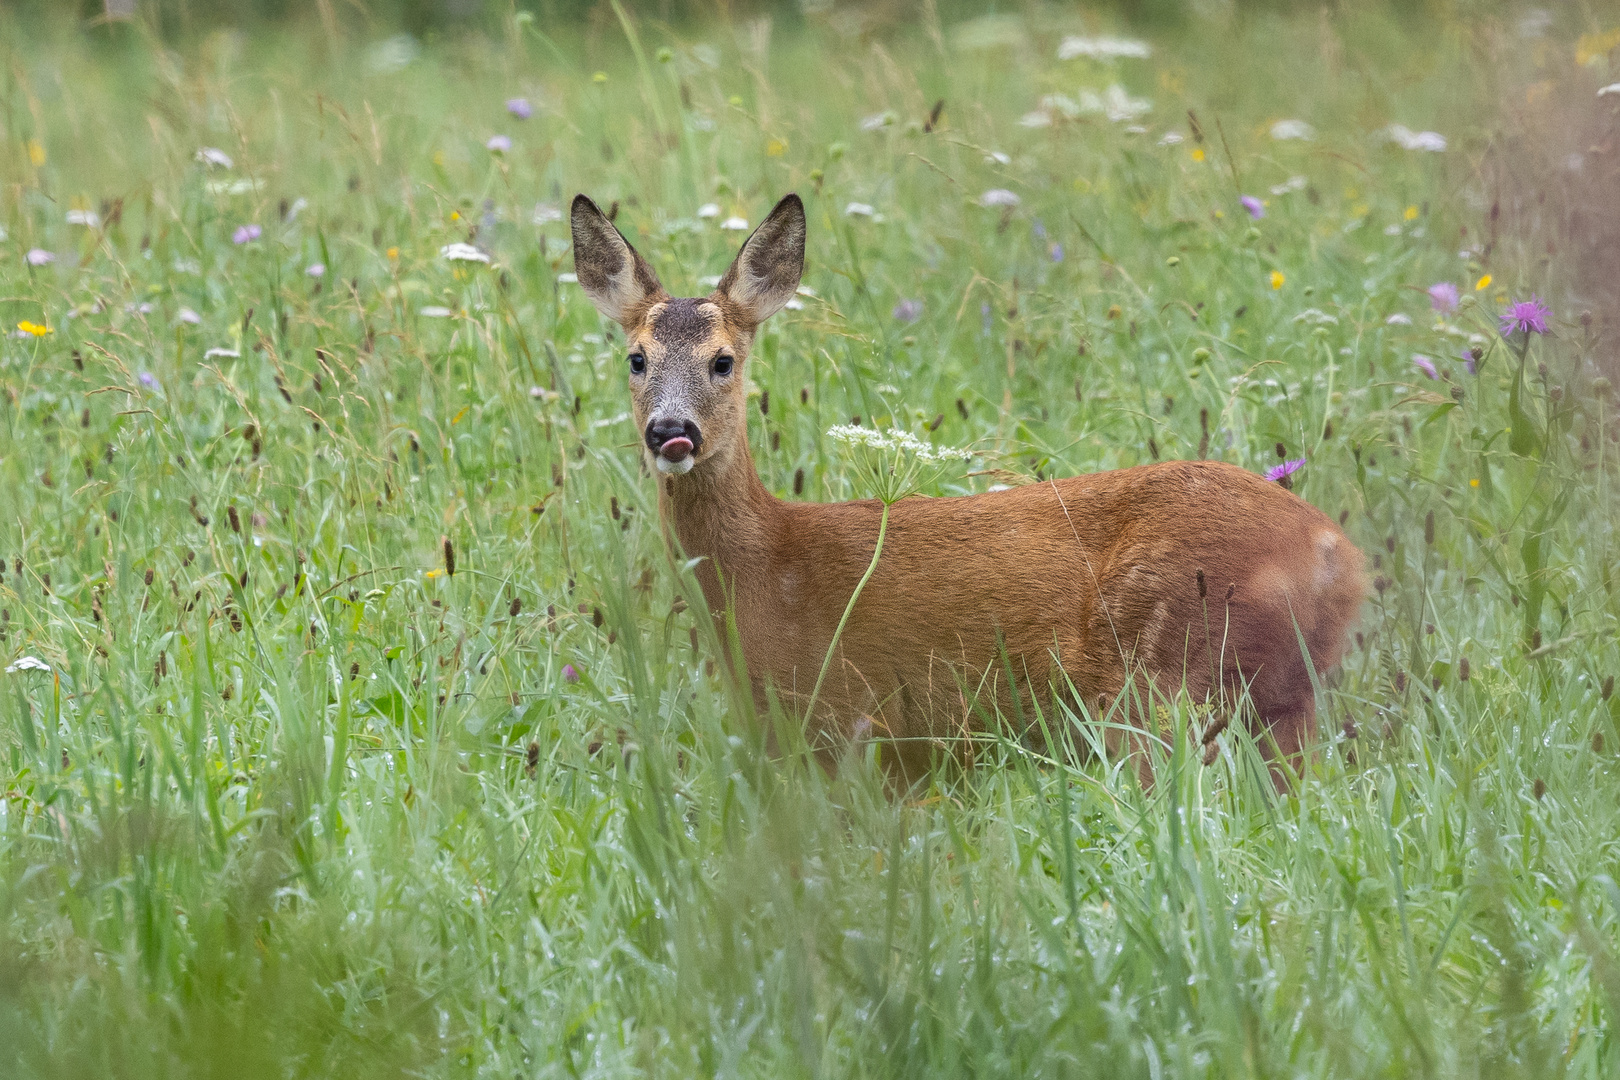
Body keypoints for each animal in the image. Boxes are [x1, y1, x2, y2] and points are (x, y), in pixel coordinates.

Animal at [573, 194, 1367, 780]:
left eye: (724, 360)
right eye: (637, 358)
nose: (671, 432)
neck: (770, 567)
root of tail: (1340, 554)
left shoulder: (851, 726)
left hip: (1163, 680)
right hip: (1276, 703)